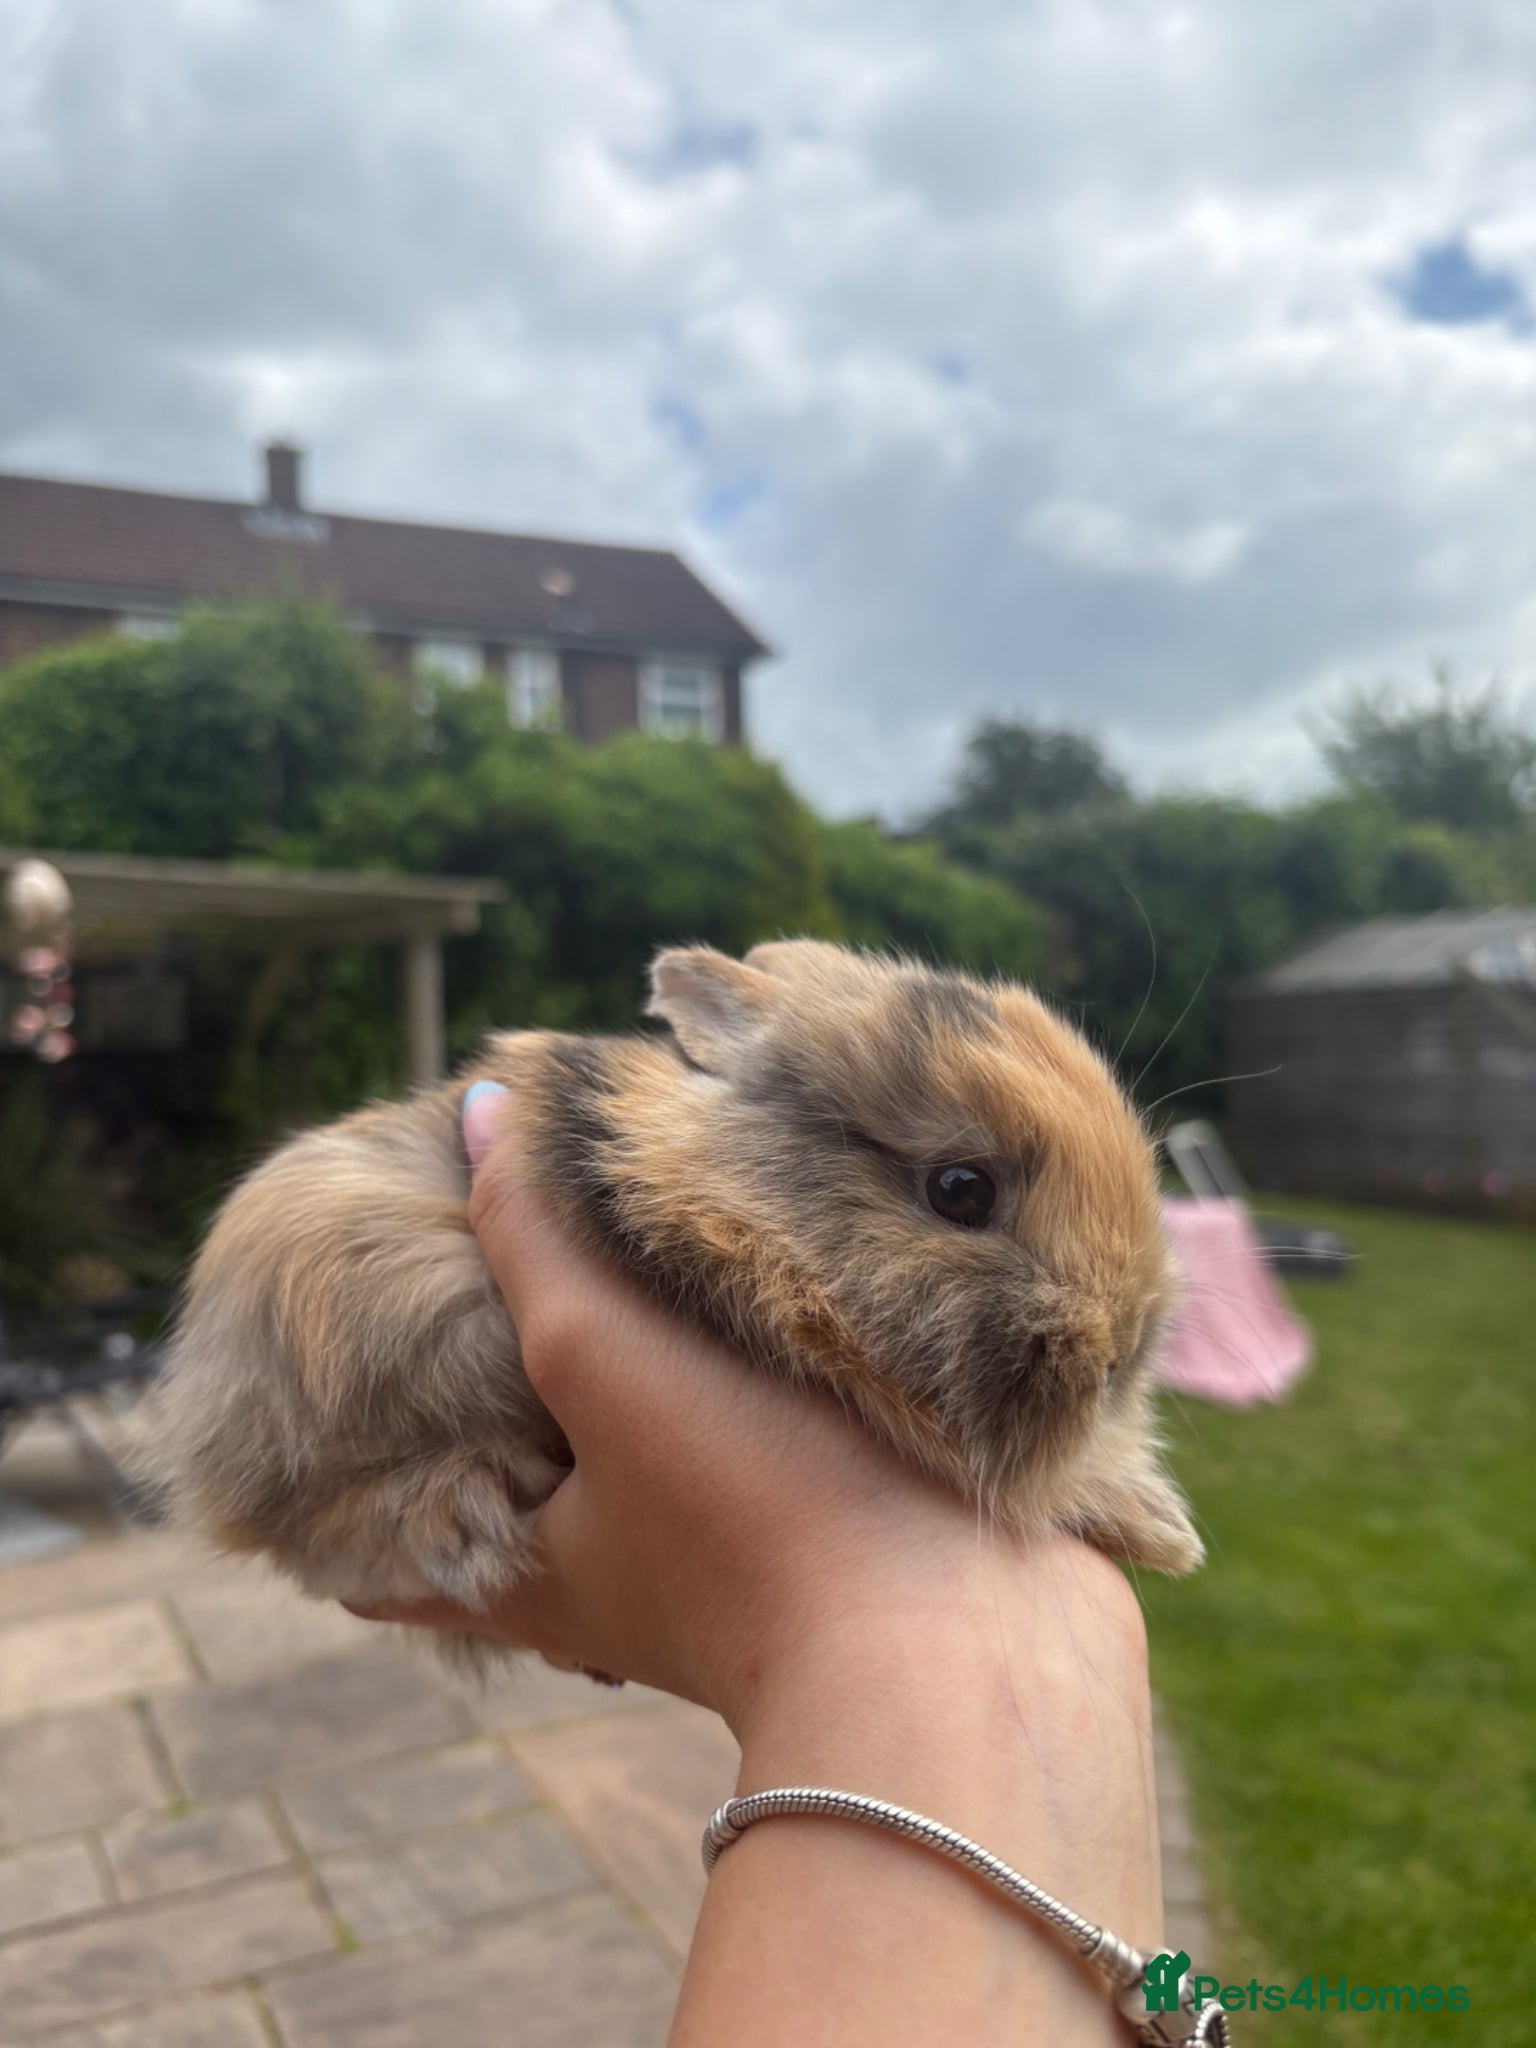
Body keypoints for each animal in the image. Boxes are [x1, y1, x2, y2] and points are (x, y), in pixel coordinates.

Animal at [146, 940, 1200, 1669]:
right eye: (959, 1190)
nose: (1125, 1347)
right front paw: (1163, 1528)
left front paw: (1161, 1530)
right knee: (324, 1526)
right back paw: (465, 1517)